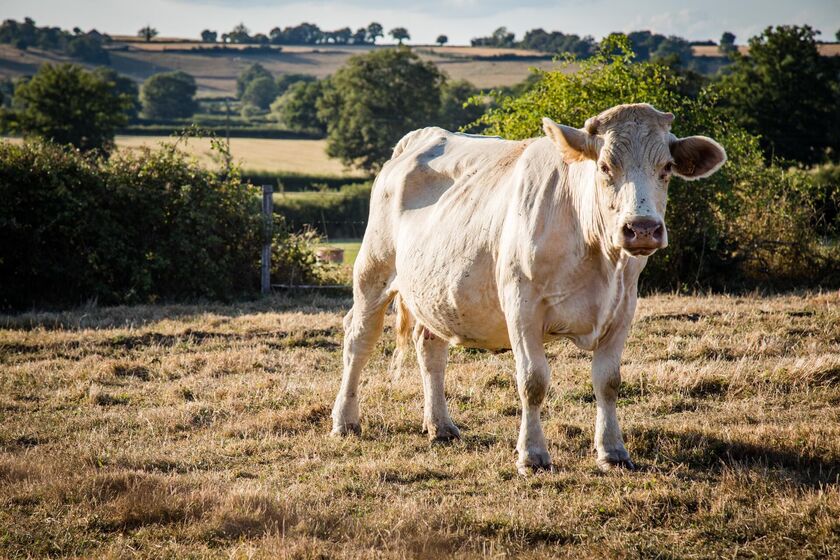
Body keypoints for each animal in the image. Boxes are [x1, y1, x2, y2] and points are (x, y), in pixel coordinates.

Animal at [332, 101, 724, 472]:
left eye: (667, 169)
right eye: (604, 167)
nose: (642, 229)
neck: (595, 253)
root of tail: (422, 136)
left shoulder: (622, 307)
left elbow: (608, 381)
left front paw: (612, 451)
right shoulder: (522, 307)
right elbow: (533, 381)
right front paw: (532, 454)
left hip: (436, 290)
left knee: (430, 349)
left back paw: (440, 426)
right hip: (373, 271)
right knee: (358, 340)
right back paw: (345, 421)